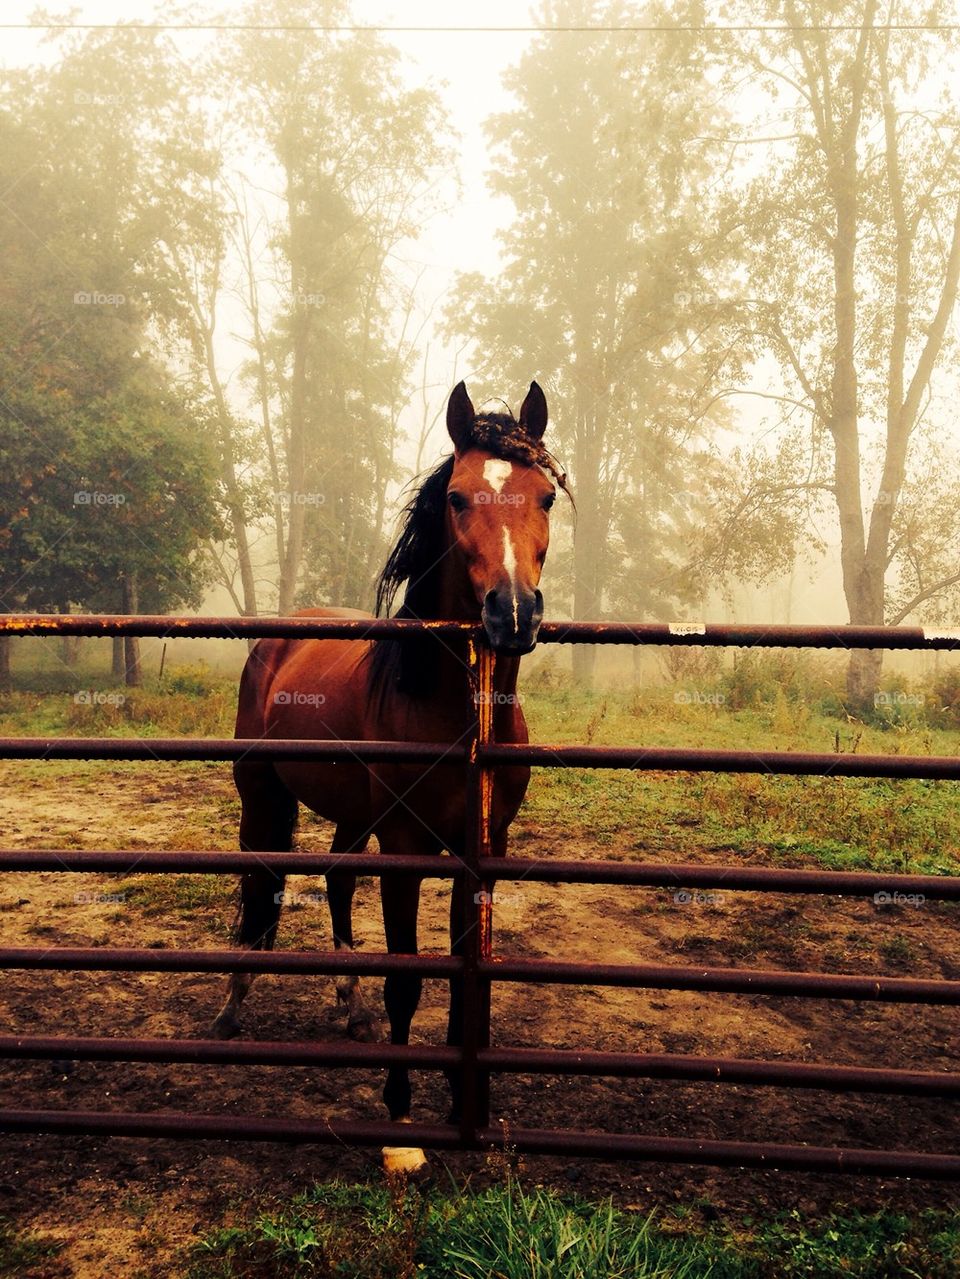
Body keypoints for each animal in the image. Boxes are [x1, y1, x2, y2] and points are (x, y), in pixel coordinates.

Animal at [210, 380, 568, 1173]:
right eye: (458, 497)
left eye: (546, 496)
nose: (513, 613)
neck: (457, 711)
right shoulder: (405, 845)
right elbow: (406, 978)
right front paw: (401, 1115)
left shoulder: (482, 853)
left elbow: (469, 983)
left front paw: (465, 1102)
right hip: (263, 796)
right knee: (260, 884)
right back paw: (231, 1006)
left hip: (351, 812)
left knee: (337, 880)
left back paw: (348, 1005)